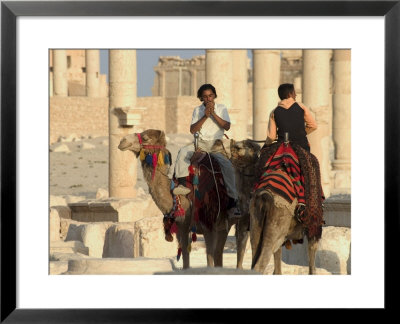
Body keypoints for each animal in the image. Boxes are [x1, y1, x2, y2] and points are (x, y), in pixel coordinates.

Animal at [119, 128, 238, 268]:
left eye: (146, 138)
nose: (122, 141)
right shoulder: (182, 228)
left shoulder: (206, 226)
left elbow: (205, 258)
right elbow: (187, 256)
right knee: (219, 254)